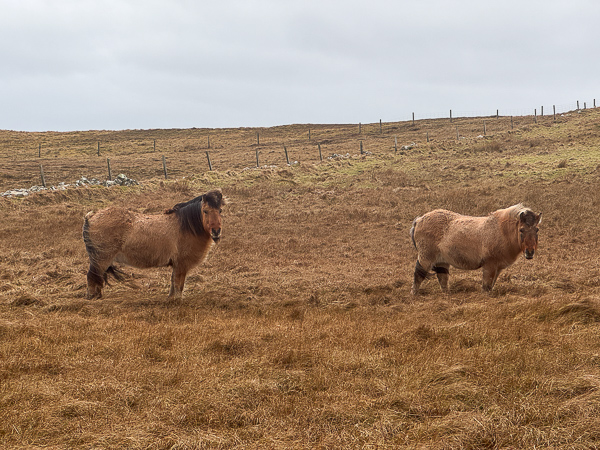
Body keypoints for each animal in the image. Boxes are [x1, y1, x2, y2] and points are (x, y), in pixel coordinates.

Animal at [82, 189, 225, 298]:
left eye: (220, 211)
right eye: (205, 211)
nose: (216, 231)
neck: (186, 226)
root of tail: (91, 216)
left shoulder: (176, 265)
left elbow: (173, 283)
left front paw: (171, 299)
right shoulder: (181, 265)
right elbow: (178, 285)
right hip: (101, 259)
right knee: (92, 277)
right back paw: (93, 298)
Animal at [410, 204, 540, 296]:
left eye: (537, 230)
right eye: (521, 230)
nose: (530, 252)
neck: (500, 231)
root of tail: (419, 220)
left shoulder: (497, 268)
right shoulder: (489, 265)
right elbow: (486, 287)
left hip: (442, 262)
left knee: (443, 279)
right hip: (426, 258)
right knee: (418, 275)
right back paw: (414, 295)